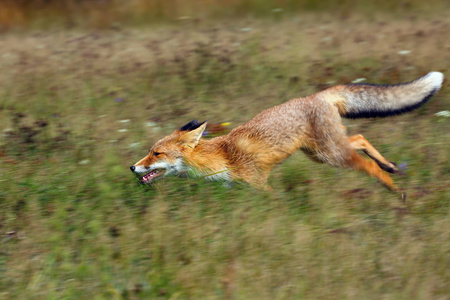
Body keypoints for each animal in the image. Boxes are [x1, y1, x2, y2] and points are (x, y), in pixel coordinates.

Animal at [130, 71, 442, 196]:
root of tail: (315, 96)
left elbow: (276, 202)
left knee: (366, 163)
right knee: (359, 139)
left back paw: (395, 189)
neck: (221, 157)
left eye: (156, 153)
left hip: (331, 155)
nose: (132, 167)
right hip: (320, 152)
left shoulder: (260, 184)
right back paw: (390, 165)